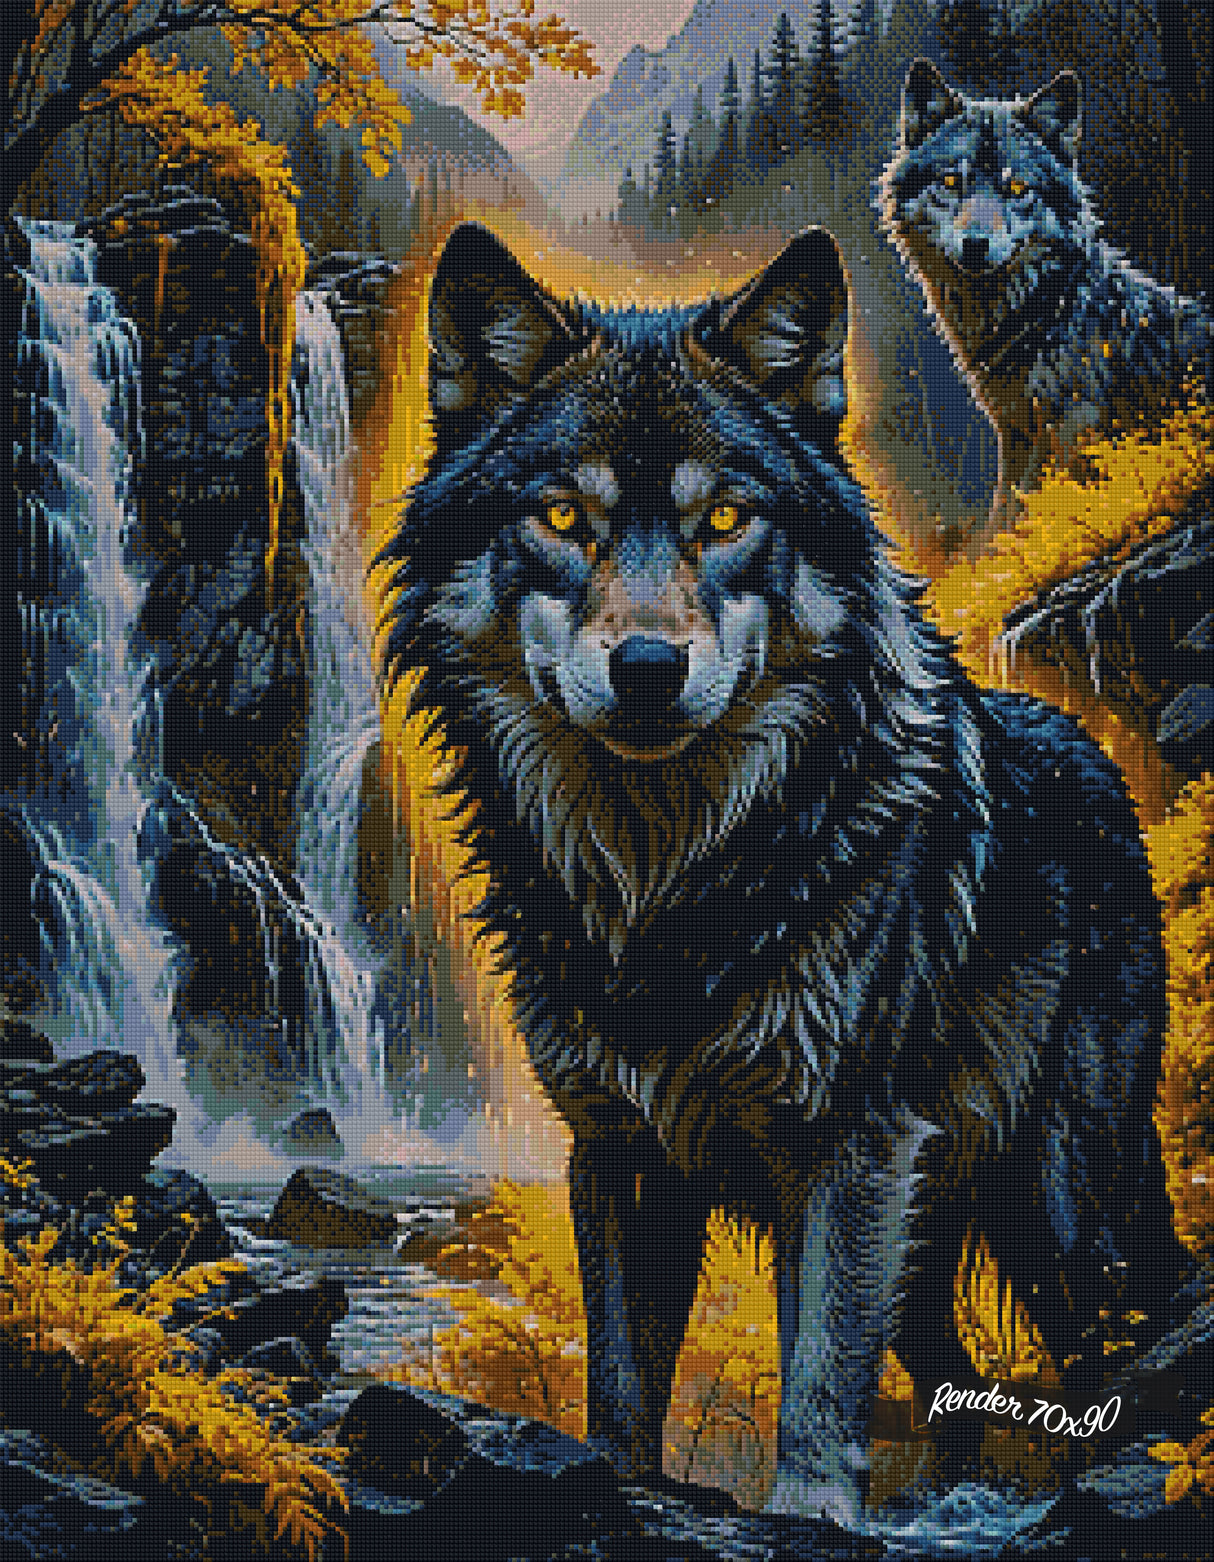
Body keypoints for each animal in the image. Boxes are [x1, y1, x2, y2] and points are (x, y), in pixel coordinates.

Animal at [376, 222, 1192, 1527]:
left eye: (722, 519)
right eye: (560, 514)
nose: (645, 667)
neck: (667, 883)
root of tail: (1089, 749)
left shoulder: (846, 1147)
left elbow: (817, 1377)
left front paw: (811, 1512)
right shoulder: (620, 1150)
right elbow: (622, 1382)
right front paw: (617, 1487)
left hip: (1060, 1204)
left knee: (1106, 1345)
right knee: (953, 1376)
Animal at [881, 59, 1210, 522]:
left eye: (1018, 188)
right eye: (950, 181)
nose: (975, 244)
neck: (1051, 308)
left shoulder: (1070, 429)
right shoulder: (1015, 430)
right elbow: (1005, 512)